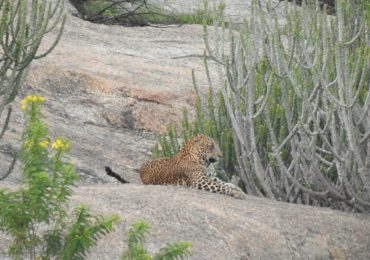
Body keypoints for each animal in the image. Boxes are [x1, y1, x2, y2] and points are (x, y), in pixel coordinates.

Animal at [105, 134, 246, 199]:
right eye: (211, 146)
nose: (221, 156)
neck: (205, 162)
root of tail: (140, 170)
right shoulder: (201, 181)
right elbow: (221, 186)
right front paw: (237, 193)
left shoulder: (211, 177)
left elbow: (225, 183)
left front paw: (238, 189)